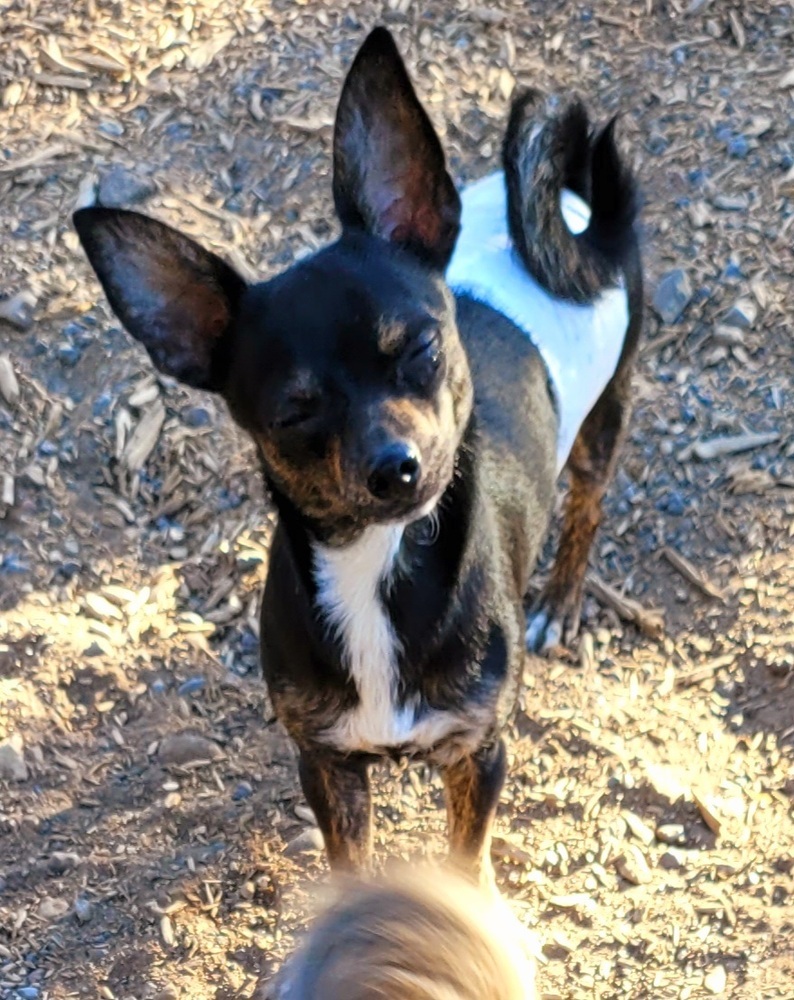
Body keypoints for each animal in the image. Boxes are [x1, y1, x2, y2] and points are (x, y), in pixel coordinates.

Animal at [74, 27, 640, 888]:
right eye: (294, 412)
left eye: (421, 350)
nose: (394, 465)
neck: (379, 565)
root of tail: (568, 206)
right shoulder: (327, 765)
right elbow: (350, 870)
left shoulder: (479, 755)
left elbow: (462, 863)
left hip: (604, 417)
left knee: (589, 502)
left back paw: (562, 599)